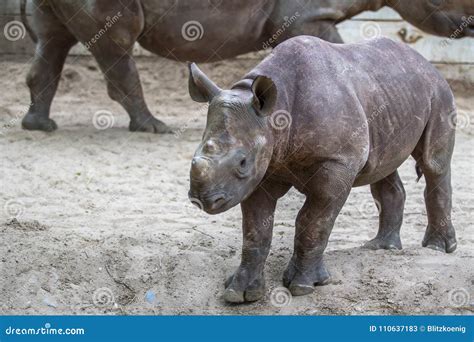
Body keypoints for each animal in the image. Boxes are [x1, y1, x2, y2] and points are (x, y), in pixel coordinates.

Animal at [20, 0, 472, 134]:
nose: (471, 24)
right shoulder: (307, 14)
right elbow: (336, 51)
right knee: (115, 42)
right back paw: (154, 128)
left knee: (53, 41)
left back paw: (40, 126)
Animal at [187, 36, 458, 304]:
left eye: (242, 162)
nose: (202, 200)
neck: (276, 114)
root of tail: (425, 61)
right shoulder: (263, 169)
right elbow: (255, 227)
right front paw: (239, 292)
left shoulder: (338, 161)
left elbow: (313, 220)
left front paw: (303, 286)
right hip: (389, 98)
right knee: (383, 166)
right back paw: (381, 247)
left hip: (438, 92)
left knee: (434, 165)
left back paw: (438, 248)